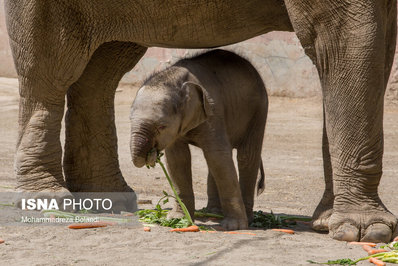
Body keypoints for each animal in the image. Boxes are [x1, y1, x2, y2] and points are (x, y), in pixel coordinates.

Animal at [131, 50, 268, 231]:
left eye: (162, 126)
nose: (151, 155)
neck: (177, 79)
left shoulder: (213, 111)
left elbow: (217, 156)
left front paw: (233, 227)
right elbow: (177, 159)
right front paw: (177, 219)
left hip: (259, 111)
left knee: (245, 156)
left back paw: (246, 219)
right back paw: (212, 213)